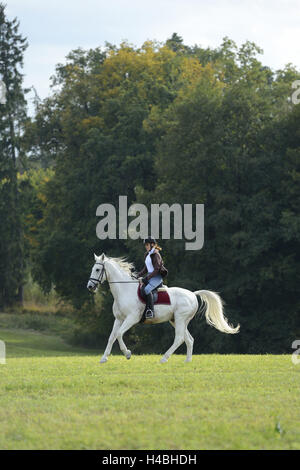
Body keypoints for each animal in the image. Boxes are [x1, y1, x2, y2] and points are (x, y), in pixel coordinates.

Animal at [86, 253, 239, 364]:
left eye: (98, 269)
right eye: (92, 269)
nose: (90, 286)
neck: (124, 290)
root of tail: (193, 294)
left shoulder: (131, 318)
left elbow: (119, 334)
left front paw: (127, 353)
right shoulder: (118, 319)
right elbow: (112, 337)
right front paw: (104, 358)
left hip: (180, 319)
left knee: (179, 338)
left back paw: (164, 358)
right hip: (176, 320)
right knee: (189, 339)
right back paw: (187, 361)